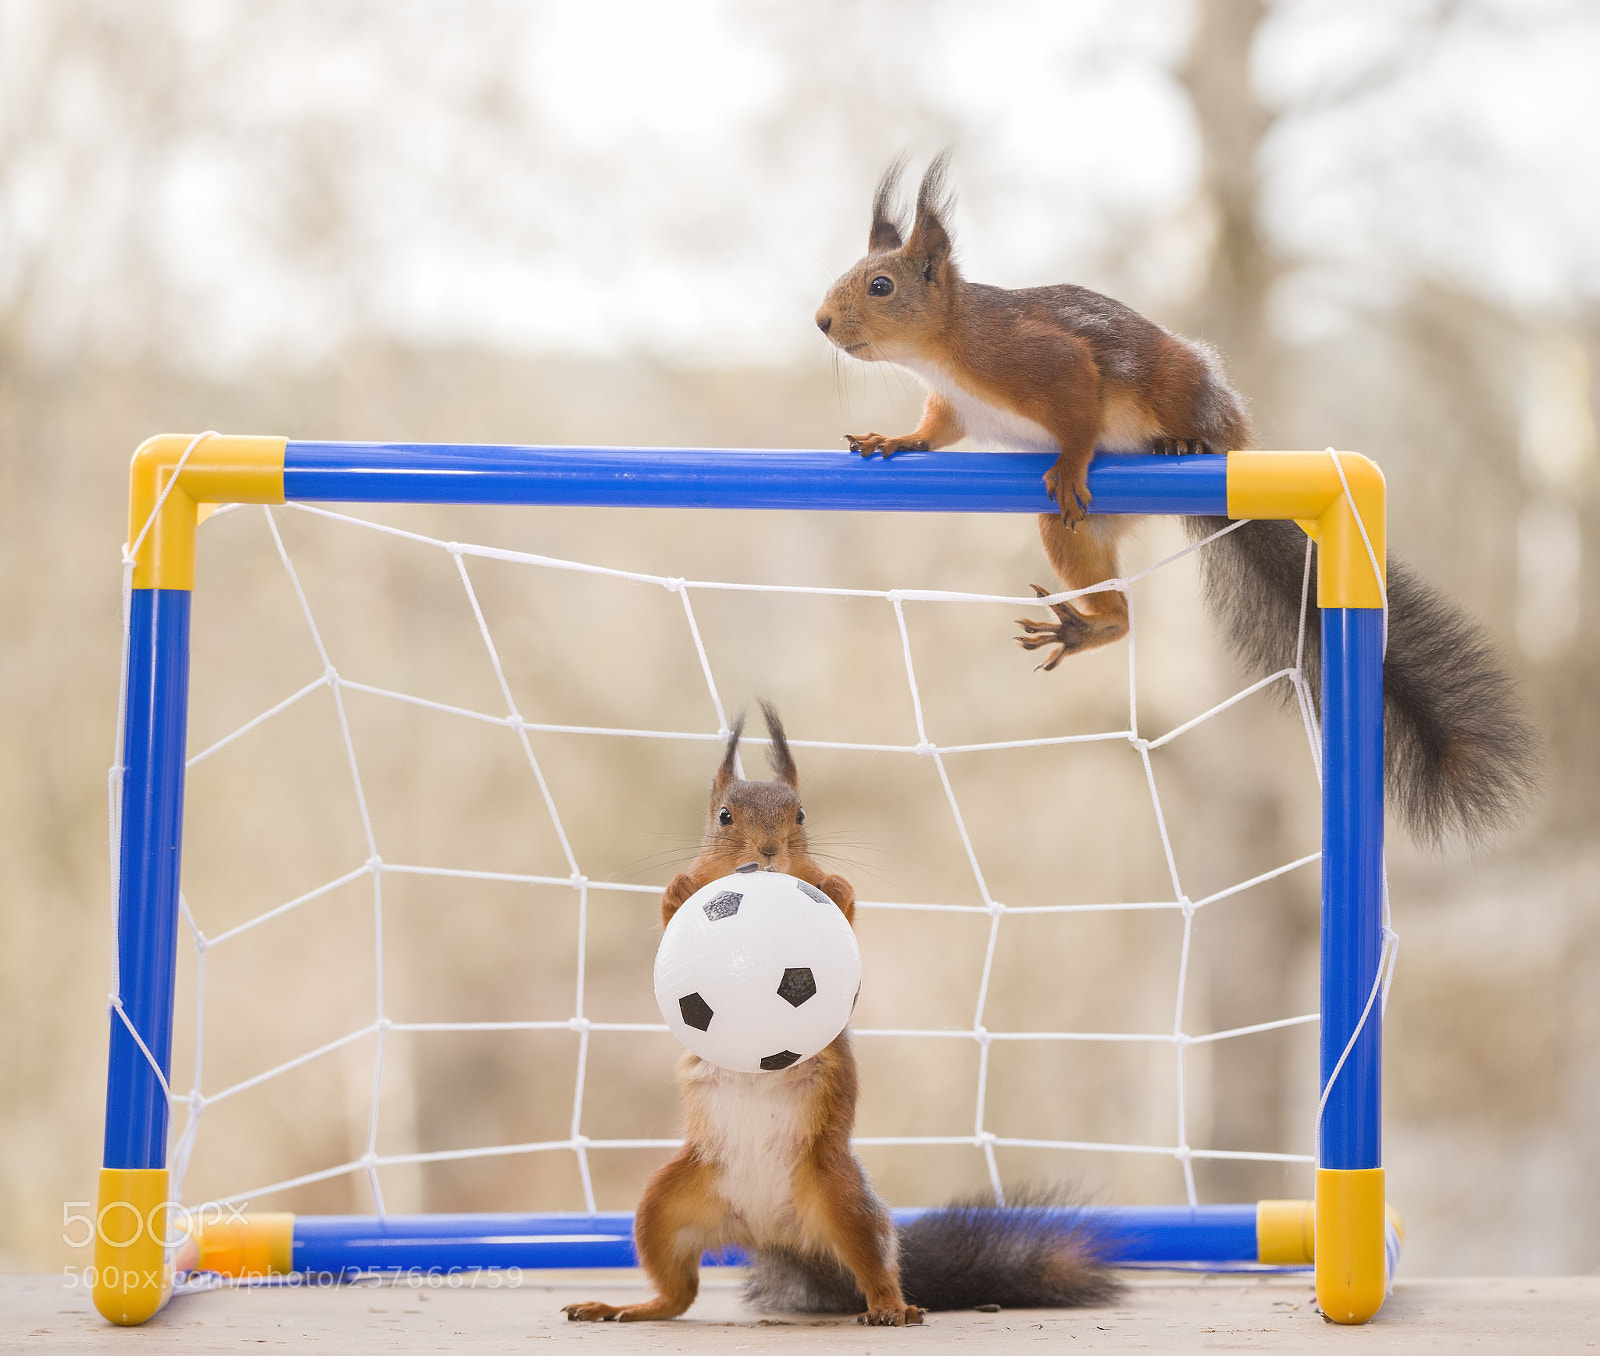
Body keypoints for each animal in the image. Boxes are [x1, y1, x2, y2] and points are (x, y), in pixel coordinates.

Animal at [564, 702, 1118, 1326]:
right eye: (725, 817)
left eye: (801, 814)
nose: (769, 850)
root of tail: (768, 1233)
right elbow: (670, 912)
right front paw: (679, 887)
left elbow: (843, 908)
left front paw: (834, 884)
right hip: (663, 1206)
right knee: (677, 1293)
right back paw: (626, 1306)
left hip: (843, 1198)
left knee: (875, 1267)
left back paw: (891, 1307)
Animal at [814, 153, 1537, 847]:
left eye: (881, 286)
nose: (821, 322)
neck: (943, 347)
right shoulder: (954, 405)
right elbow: (934, 432)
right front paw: (894, 439)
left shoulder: (1047, 359)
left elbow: (1078, 415)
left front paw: (1069, 459)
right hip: (1072, 530)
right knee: (1119, 610)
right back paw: (1090, 625)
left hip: (1181, 387)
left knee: (1193, 424)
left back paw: (1181, 442)